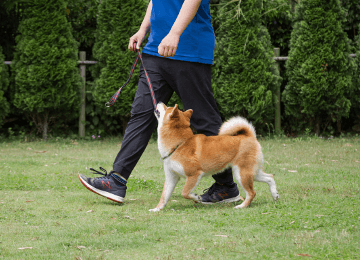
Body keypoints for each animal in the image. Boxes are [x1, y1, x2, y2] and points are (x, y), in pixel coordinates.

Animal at [150, 102, 280, 212]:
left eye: (167, 107)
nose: (159, 102)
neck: (180, 144)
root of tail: (249, 135)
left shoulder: (194, 175)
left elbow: (185, 192)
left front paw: (196, 197)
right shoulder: (171, 177)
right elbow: (164, 197)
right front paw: (156, 209)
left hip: (242, 173)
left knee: (252, 193)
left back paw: (242, 206)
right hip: (251, 172)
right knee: (270, 177)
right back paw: (275, 195)